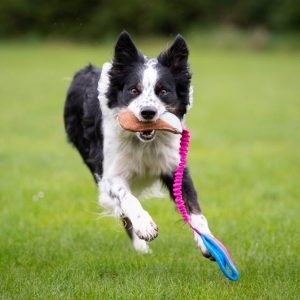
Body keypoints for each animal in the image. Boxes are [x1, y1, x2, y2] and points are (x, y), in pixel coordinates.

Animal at [63, 32, 214, 258]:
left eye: (163, 91)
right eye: (134, 90)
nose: (148, 112)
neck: (144, 143)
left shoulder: (175, 166)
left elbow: (194, 207)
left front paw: (207, 242)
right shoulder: (110, 172)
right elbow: (128, 199)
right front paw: (145, 226)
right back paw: (140, 246)